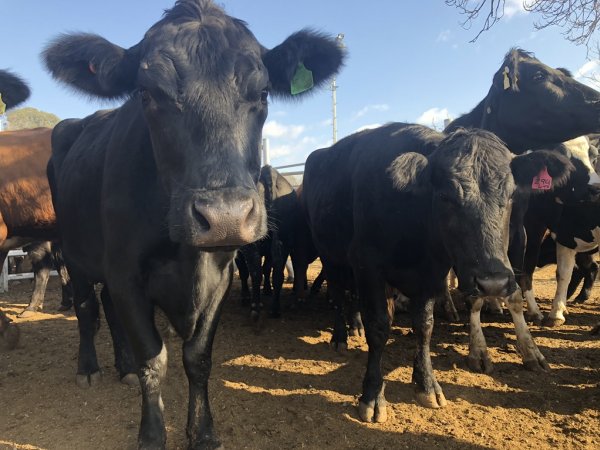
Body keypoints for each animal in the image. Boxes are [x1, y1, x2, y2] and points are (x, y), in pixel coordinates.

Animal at [42, 1, 344, 448]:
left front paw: (202, 430)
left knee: (108, 308)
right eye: (147, 93)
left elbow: (198, 357)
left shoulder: (222, 274)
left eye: (263, 93)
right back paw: (90, 367)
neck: (185, 255)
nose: (225, 216)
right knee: (86, 308)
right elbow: (154, 359)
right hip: (74, 252)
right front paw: (152, 434)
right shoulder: (126, 272)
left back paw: (123, 367)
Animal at [302, 123, 576, 418]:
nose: (493, 283)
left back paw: (355, 327)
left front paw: (426, 385)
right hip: (331, 256)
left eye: (511, 194)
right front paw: (373, 395)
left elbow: (424, 326)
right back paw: (341, 337)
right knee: (338, 297)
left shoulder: (430, 275)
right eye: (446, 196)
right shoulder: (367, 265)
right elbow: (379, 326)